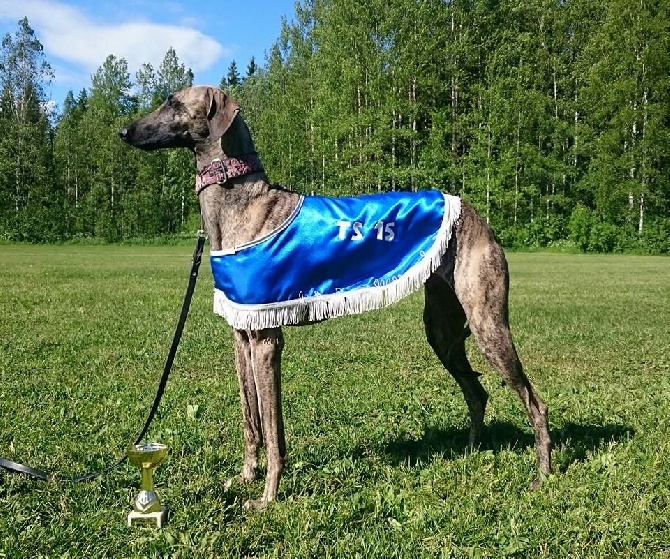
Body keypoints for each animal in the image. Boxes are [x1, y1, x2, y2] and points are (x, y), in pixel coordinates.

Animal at [119, 85, 552, 510]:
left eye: (173, 102)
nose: (124, 132)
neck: (244, 204)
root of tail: (477, 215)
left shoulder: (266, 341)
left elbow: (273, 430)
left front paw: (267, 497)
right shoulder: (242, 334)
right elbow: (251, 420)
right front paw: (245, 477)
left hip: (487, 324)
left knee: (535, 402)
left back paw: (542, 475)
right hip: (443, 331)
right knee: (477, 393)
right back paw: (471, 451)